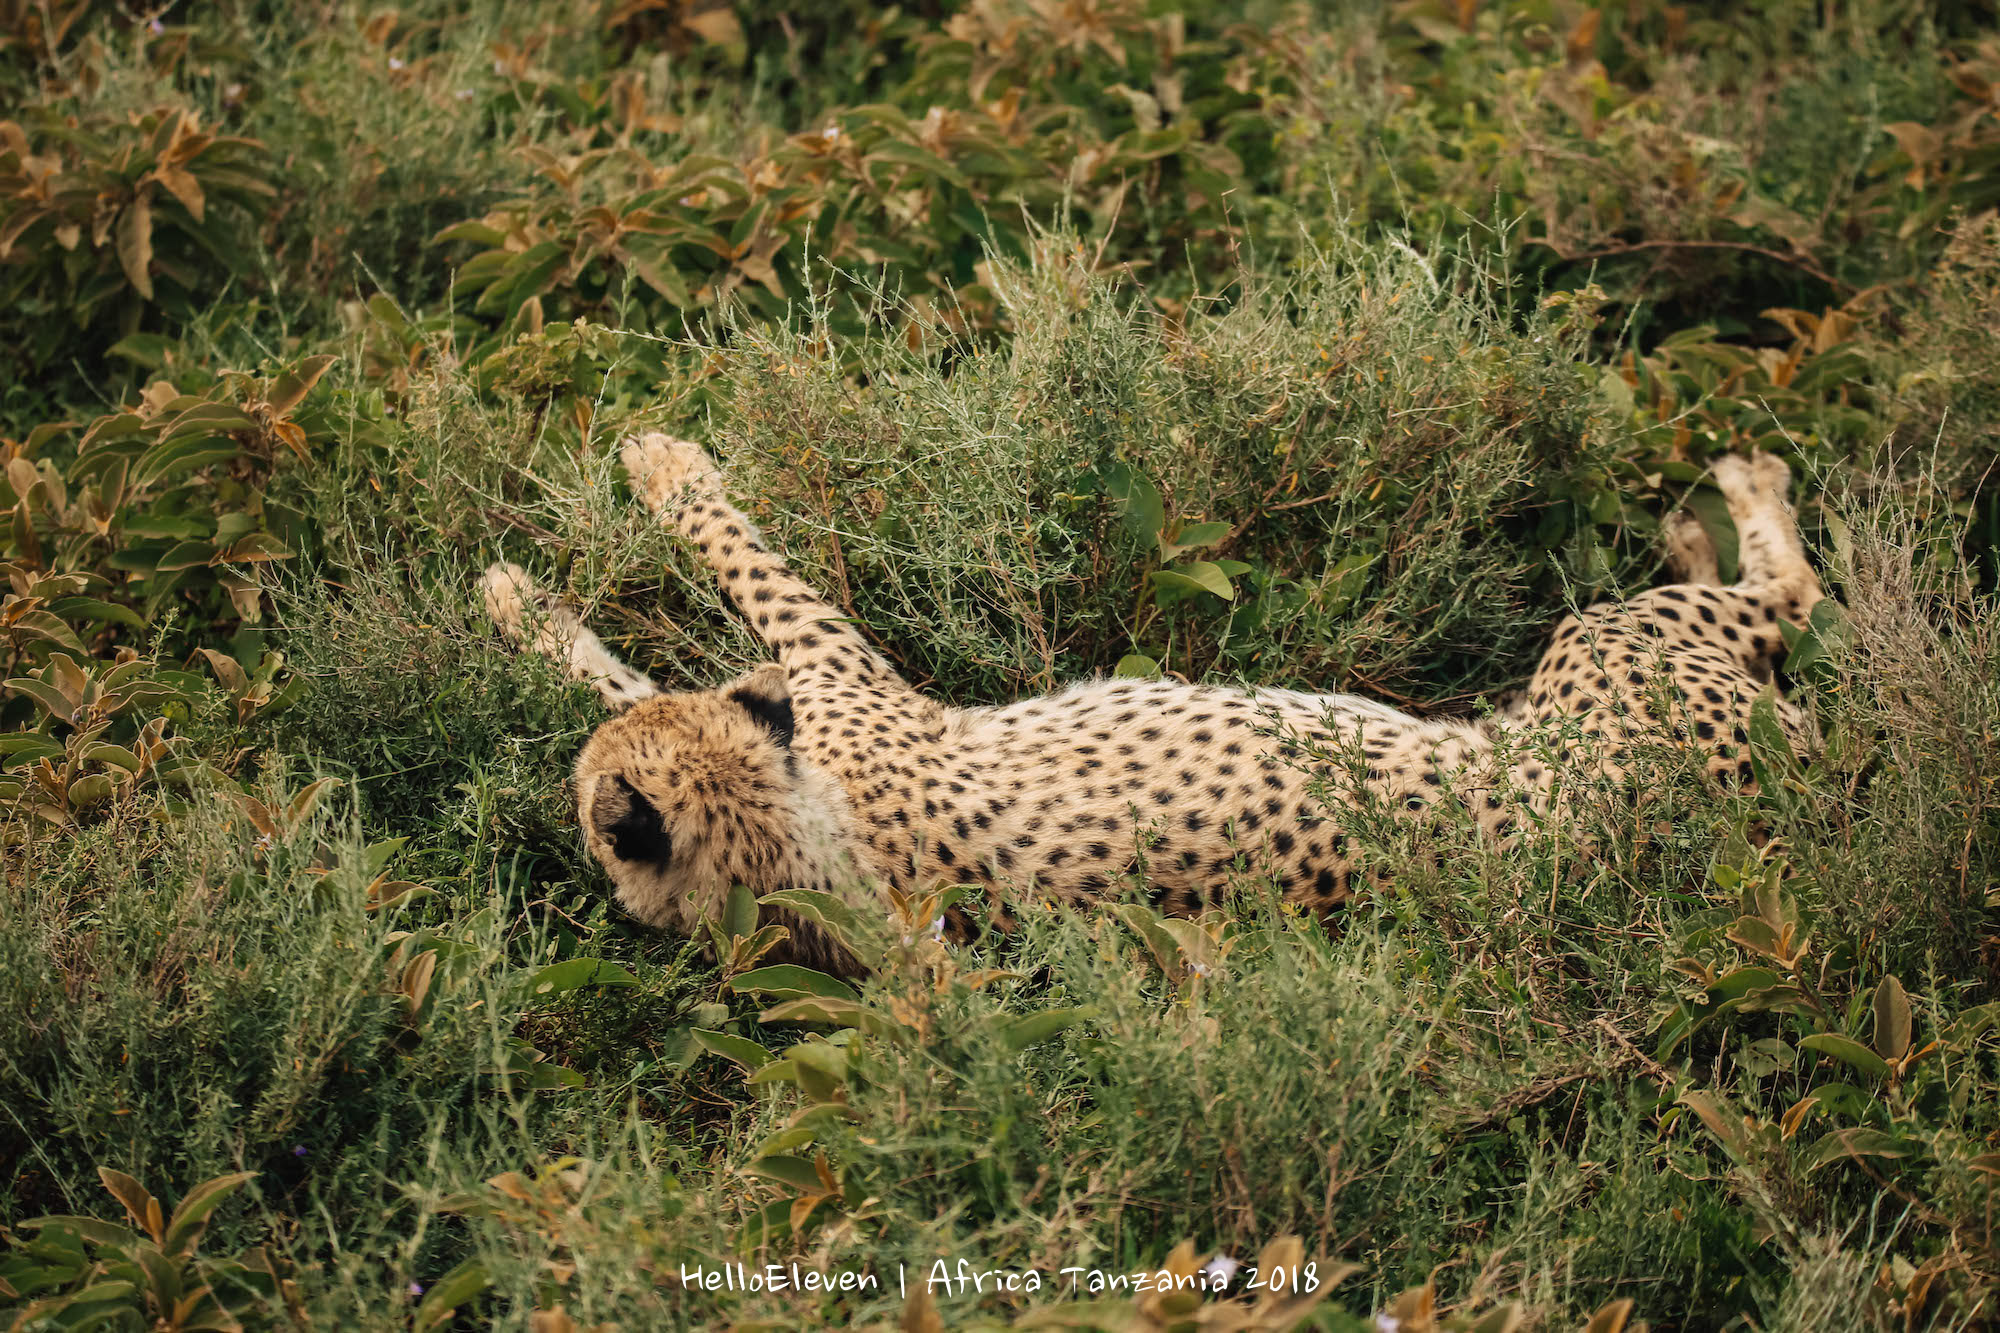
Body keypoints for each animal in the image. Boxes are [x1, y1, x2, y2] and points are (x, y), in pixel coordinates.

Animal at [484, 436, 1832, 964]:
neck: (790, 852)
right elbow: (701, 622)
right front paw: (543, 577)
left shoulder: (834, 681)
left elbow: (721, 592)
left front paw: (556, 557)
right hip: (1615, 649)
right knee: (1794, 598)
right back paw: (1731, 493)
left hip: (1611, 646)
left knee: (1793, 600)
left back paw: (1718, 500)